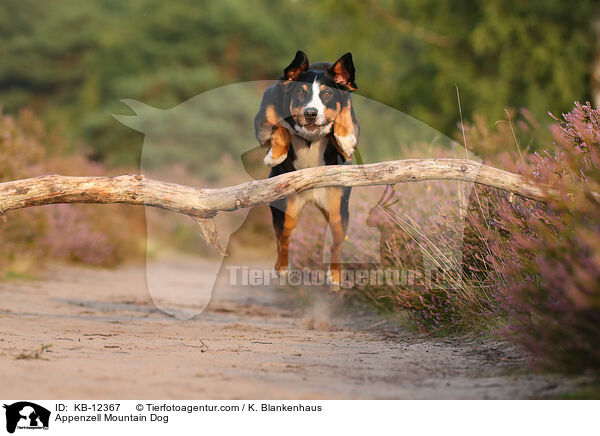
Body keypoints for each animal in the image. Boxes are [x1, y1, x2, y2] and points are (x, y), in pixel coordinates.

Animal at [254, 51, 360, 288]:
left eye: (328, 93)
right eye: (300, 93)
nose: (310, 113)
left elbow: (344, 113)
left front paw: (345, 140)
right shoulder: (263, 123)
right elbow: (281, 128)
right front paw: (276, 155)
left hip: (338, 209)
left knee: (336, 243)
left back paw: (335, 276)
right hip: (286, 208)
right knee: (283, 239)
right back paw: (282, 269)